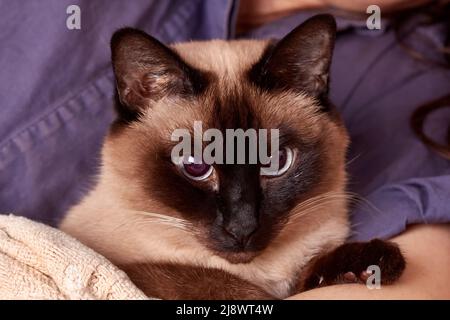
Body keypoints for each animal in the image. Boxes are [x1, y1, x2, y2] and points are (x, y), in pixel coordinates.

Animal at [58, 15, 406, 300]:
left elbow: (310, 272)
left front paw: (370, 265)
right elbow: (211, 281)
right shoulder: (126, 266)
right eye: (195, 167)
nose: (242, 228)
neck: (263, 274)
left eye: (276, 161)